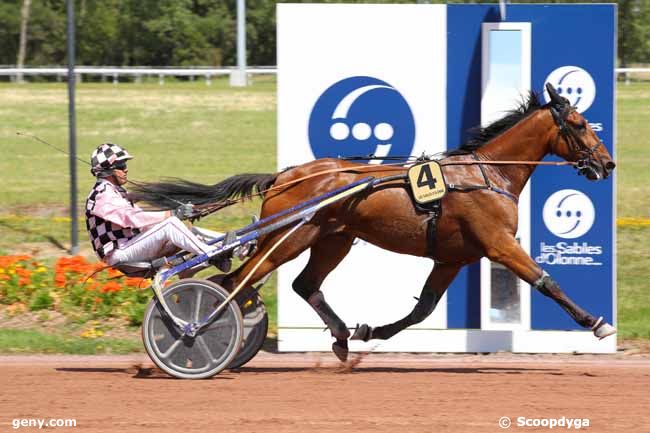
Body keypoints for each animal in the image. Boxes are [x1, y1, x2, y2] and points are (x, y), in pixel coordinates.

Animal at [135, 83, 612, 358]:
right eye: (579, 122)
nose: (606, 163)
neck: (486, 175)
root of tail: (285, 175)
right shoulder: (499, 244)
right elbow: (546, 282)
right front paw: (596, 324)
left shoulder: (452, 258)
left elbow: (422, 309)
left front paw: (369, 330)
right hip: (291, 236)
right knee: (237, 282)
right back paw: (198, 333)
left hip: (332, 239)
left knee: (300, 284)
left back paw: (341, 336)